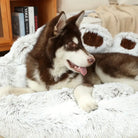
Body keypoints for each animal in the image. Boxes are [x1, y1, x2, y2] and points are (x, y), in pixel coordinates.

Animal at [0, 10, 137, 112]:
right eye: (72, 44)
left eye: (82, 43)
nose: (92, 60)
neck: (52, 70)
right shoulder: (38, 90)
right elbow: (11, 88)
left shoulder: (86, 82)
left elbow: (78, 89)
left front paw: (87, 103)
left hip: (104, 68)